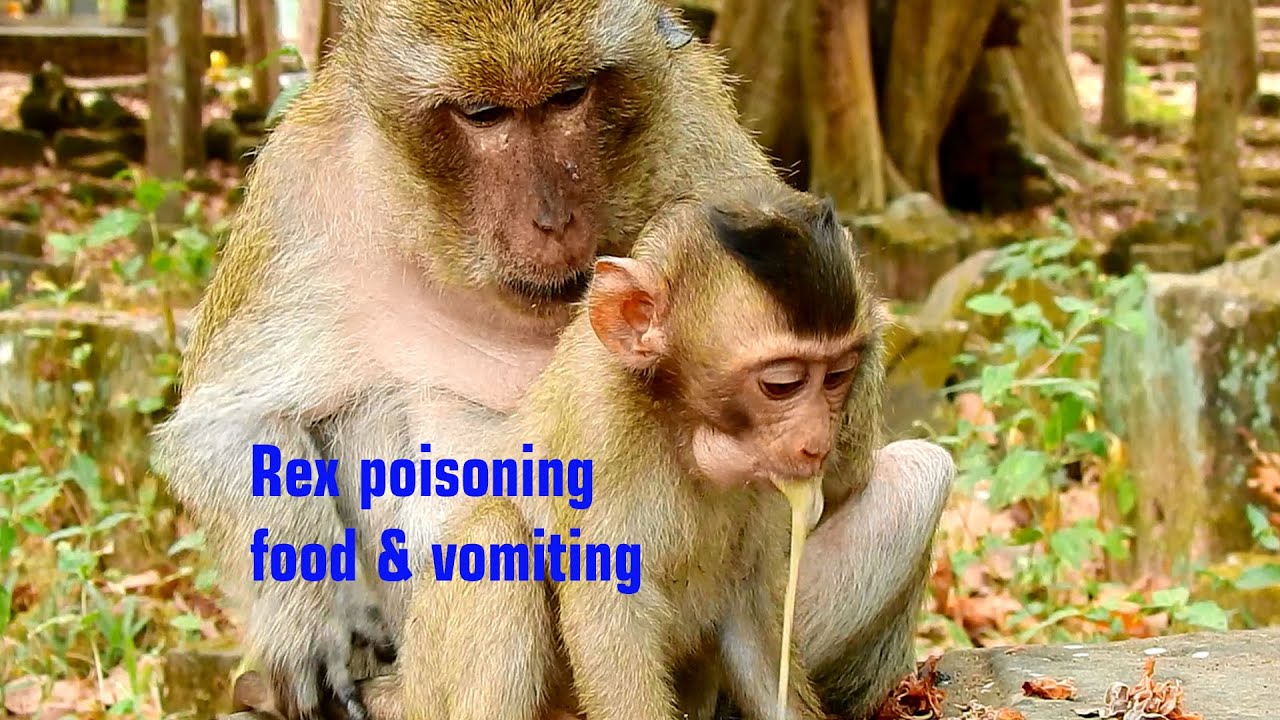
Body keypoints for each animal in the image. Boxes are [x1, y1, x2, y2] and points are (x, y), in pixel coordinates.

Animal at [393, 177, 890, 720]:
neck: (682, 428)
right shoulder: (599, 424)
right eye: (782, 385)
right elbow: (608, 617)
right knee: (495, 533)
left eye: (837, 376)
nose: (817, 442)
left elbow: (753, 619)